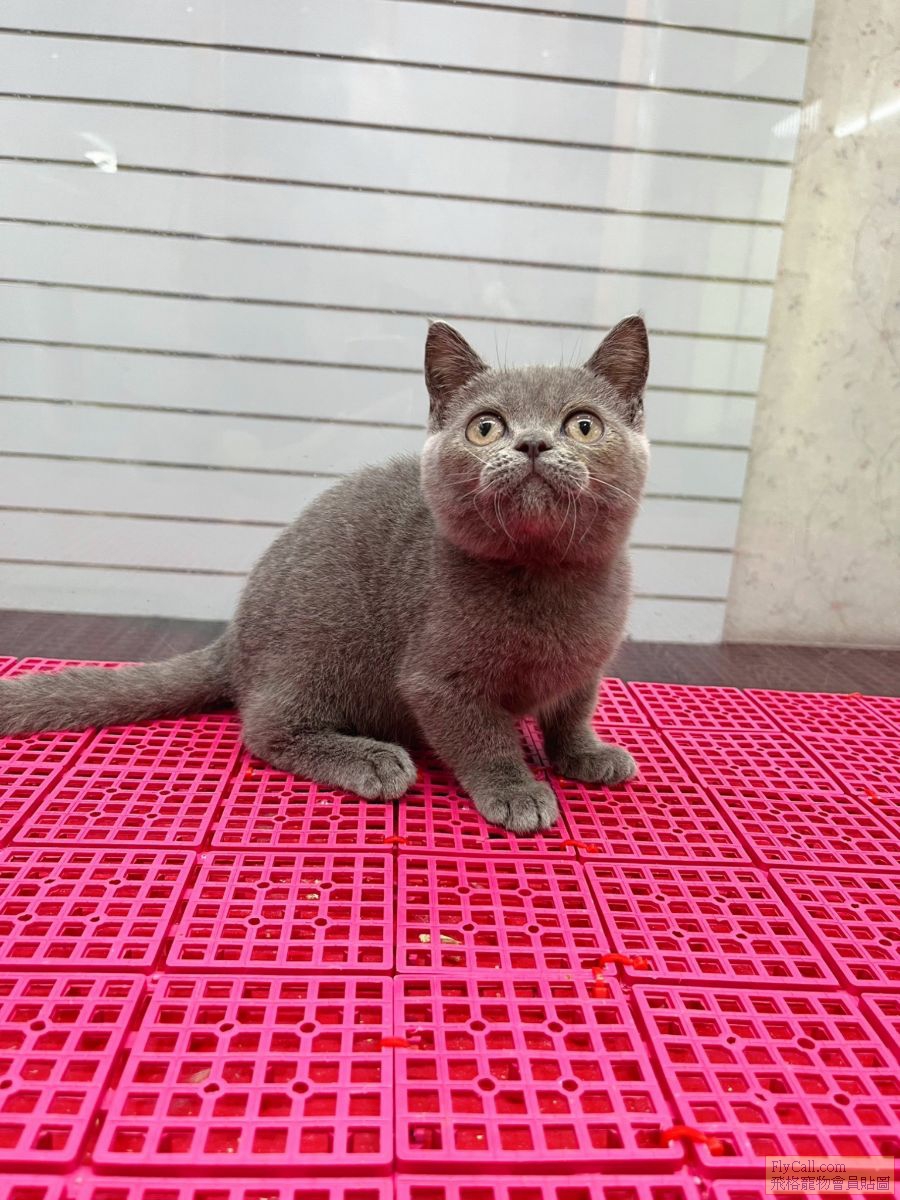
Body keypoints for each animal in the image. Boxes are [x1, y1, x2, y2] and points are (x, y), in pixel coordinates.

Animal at [0, 315, 650, 832]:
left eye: (583, 425)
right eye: (486, 427)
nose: (533, 443)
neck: (544, 574)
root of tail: (233, 641)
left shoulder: (586, 665)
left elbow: (571, 712)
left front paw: (583, 755)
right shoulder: (436, 681)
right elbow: (480, 738)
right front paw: (514, 790)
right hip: (322, 646)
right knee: (265, 728)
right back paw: (371, 758)